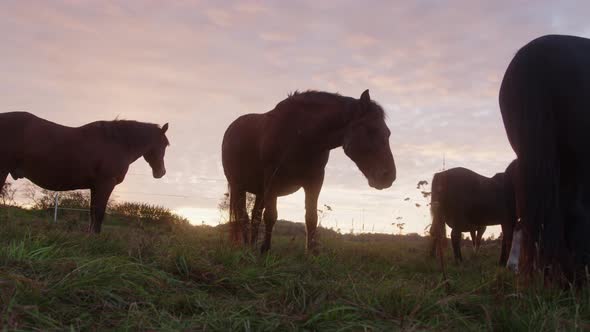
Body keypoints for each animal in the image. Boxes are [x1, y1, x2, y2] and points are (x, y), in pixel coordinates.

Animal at [0, 111, 170, 233]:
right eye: (165, 144)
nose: (161, 172)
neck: (117, 143)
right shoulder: (105, 184)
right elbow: (99, 213)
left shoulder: (95, 187)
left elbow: (92, 214)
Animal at [222, 89, 398, 253]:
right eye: (371, 129)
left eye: (388, 133)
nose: (388, 176)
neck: (299, 134)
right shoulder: (272, 178)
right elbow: (271, 216)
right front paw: (265, 250)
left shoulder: (315, 180)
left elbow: (311, 217)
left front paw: (312, 252)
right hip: (239, 187)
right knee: (243, 217)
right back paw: (246, 248)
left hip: (260, 192)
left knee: (255, 216)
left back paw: (252, 246)